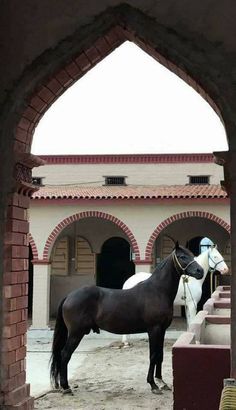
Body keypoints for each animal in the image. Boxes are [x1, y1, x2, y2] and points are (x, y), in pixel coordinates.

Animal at [49, 243, 203, 394]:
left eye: (192, 255)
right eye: (182, 256)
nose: (200, 271)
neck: (157, 291)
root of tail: (69, 296)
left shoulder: (162, 330)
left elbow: (160, 355)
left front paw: (162, 382)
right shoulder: (154, 330)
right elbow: (153, 355)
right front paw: (153, 385)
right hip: (76, 333)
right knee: (65, 354)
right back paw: (66, 387)